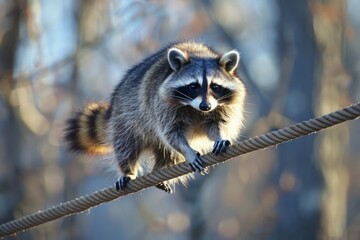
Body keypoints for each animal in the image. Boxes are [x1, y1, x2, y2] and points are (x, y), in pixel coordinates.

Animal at [64, 41, 246, 193]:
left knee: (169, 154)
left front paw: (220, 137)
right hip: (125, 116)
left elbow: (217, 124)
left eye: (215, 86)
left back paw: (159, 171)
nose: (205, 106)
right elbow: (171, 133)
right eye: (193, 86)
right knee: (127, 144)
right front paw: (188, 151)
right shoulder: (162, 105)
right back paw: (128, 170)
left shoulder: (224, 106)